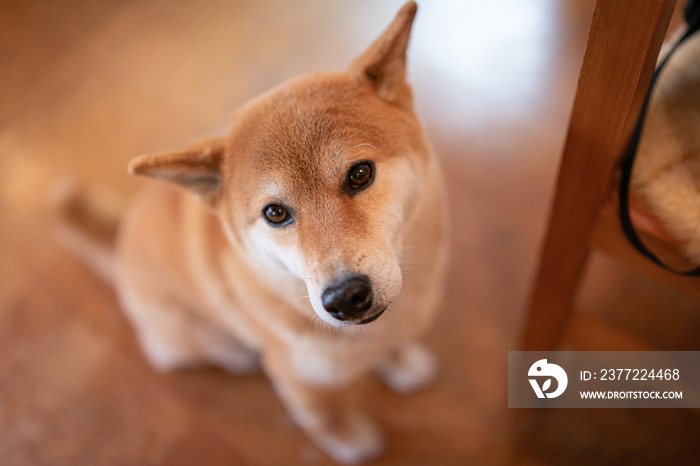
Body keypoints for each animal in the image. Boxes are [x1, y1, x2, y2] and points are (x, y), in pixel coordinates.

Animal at [57, 1, 446, 462]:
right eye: (275, 213)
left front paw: (401, 362)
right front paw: (351, 443)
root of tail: (120, 247)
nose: (344, 298)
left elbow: (395, 343)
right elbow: (327, 418)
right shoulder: (300, 379)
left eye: (360, 174)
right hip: (183, 335)